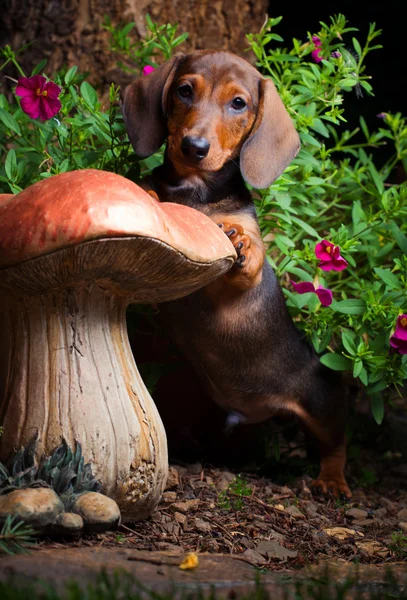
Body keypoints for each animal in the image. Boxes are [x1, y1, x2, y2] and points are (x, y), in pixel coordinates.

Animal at [122, 50, 352, 496]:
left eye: (239, 103)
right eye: (184, 90)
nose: (193, 147)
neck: (195, 192)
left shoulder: (244, 274)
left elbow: (248, 251)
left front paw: (240, 241)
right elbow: (150, 190)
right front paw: (147, 192)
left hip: (320, 401)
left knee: (336, 444)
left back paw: (332, 481)